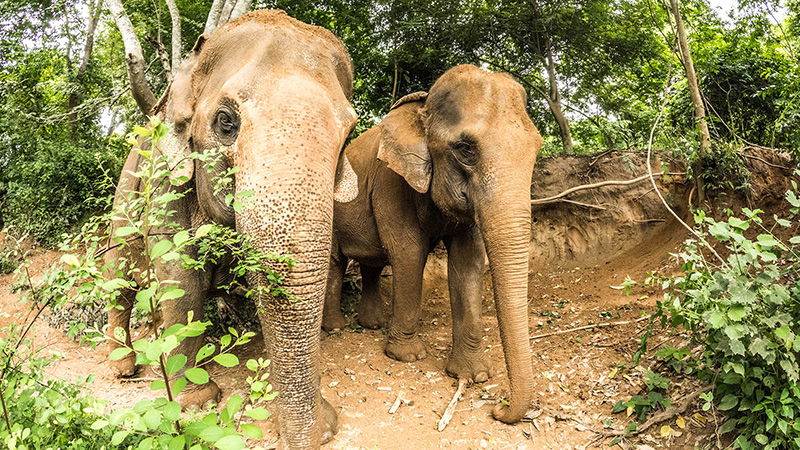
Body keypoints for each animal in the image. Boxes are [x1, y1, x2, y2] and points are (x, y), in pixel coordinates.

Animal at [105, 10, 358, 449]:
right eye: (225, 121)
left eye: (348, 133)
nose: (323, 433)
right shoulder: (165, 176)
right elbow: (179, 273)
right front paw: (196, 401)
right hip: (125, 196)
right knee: (119, 280)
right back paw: (125, 367)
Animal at [322, 64, 543, 424]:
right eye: (465, 148)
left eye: (536, 148)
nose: (498, 408)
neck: (423, 106)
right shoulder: (390, 180)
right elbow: (409, 251)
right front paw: (407, 357)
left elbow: (468, 261)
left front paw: (473, 375)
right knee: (334, 262)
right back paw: (336, 329)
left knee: (372, 264)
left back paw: (372, 325)